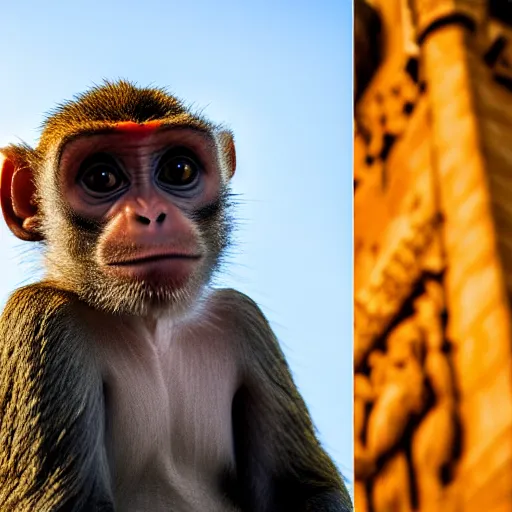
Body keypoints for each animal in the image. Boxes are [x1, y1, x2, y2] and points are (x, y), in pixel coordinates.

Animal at [0, 81, 352, 512]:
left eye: (178, 170)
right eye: (101, 177)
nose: (152, 215)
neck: (153, 325)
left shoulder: (242, 317)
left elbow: (307, 489)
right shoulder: (42, 319)